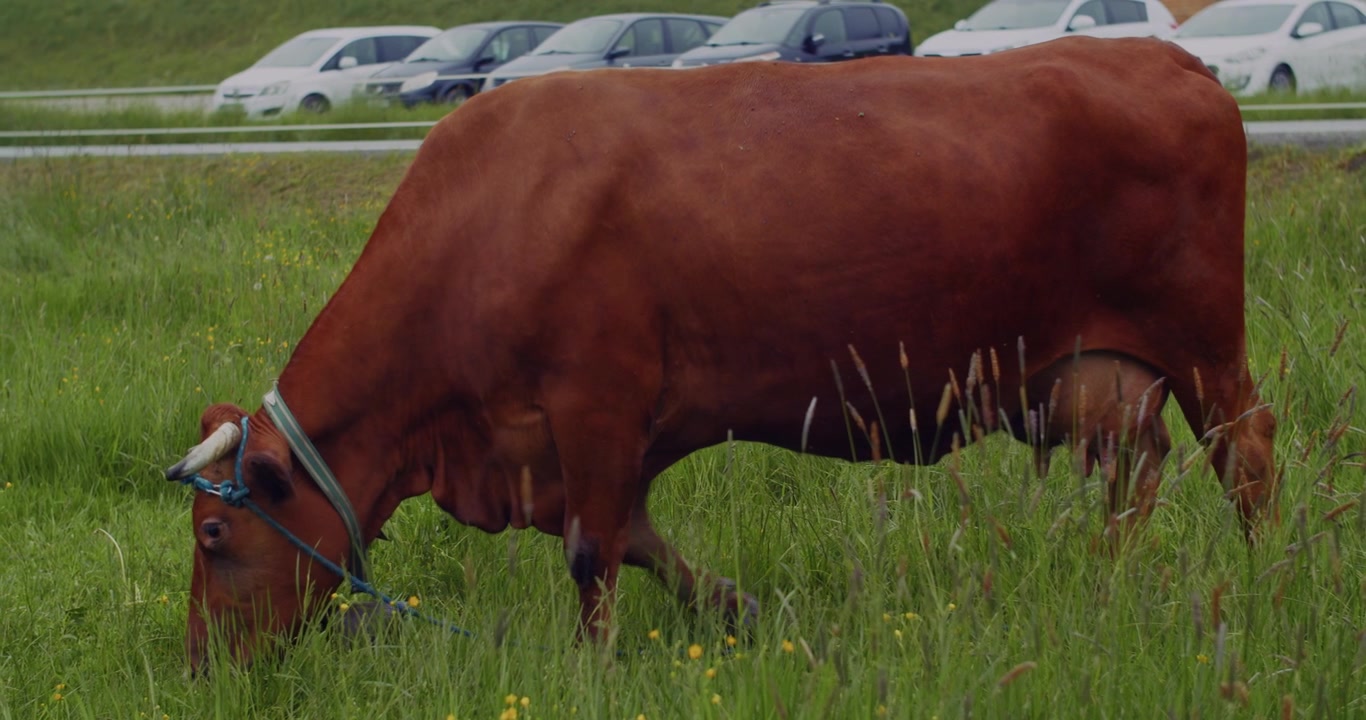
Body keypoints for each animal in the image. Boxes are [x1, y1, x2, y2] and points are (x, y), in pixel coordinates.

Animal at [166, 37, 1277, 671]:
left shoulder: (597, 399)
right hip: (1094, 375)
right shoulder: (579, 447)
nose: (202, 668)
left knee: (1247, 452)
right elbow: (639, 542)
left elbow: (591, 552)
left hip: (1202, 342)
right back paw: (1106, 582)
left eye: (214, 537)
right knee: (1134, 473)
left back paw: (1267, 571)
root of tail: (1160, 56)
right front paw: (743, 610)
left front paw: (593, 667)